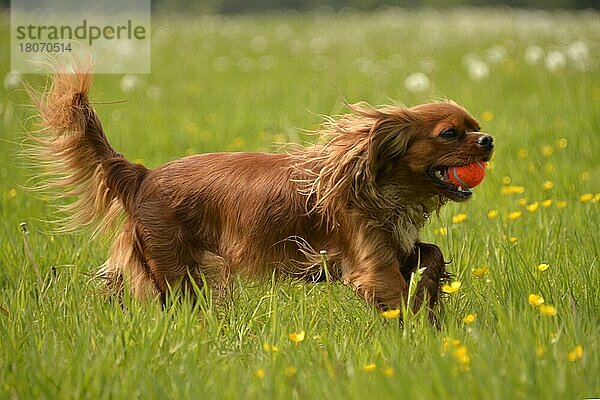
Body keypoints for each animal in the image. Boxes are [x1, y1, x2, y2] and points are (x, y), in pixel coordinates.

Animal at [28, 62, 494, 318]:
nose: (488, 140)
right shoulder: (370, 264)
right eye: (450, 133)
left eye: (475, 126)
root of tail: (142, 175)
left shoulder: (395, 245)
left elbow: (431, 255)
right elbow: (394, 295)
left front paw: (431, 298)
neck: (381, 187)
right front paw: (419, 337)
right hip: (176, 268)